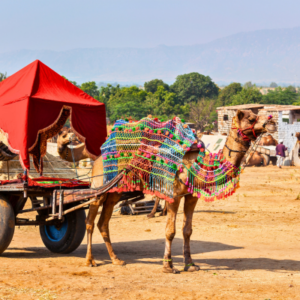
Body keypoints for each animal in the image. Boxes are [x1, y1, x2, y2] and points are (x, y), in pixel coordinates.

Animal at [84, 111, 274, 274]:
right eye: (251, 118)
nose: (272, 123)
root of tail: (98, 158)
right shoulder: (173, 195)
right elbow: (170, 231)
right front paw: (168, 266)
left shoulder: (191, 196)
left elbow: (187, 230)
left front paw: (190, 264)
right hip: (100, 187)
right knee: (90, 221)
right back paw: (90, 260)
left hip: (115, 191)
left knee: (103, 223)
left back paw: (116, 259)